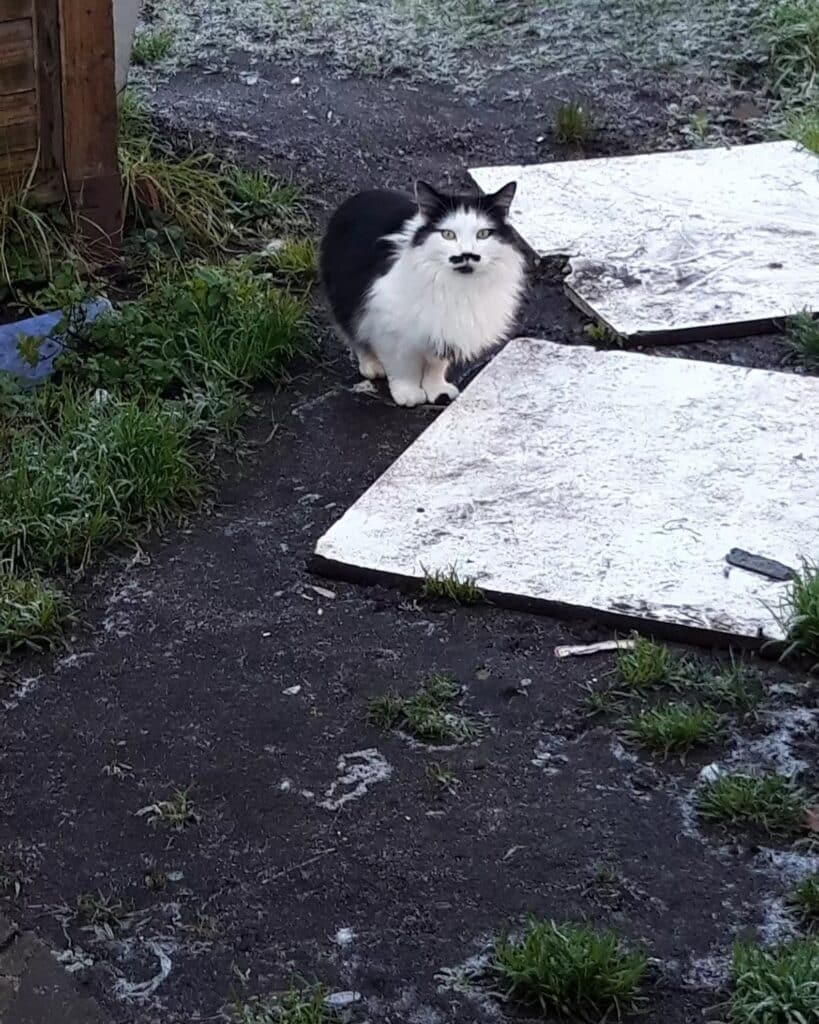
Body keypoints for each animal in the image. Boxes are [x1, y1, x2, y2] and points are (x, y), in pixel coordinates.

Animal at [319, 182, 524, 405]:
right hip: (346, 299)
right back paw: (372, 366)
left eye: (483, 234)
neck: (457, 287)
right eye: (448, 234)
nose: (467, 255)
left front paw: (437, 391)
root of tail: (357, 197)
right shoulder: (390, 330)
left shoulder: (443, 331)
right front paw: (408, 394)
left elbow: (436, 366)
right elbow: (403, 367)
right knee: (355, 336)